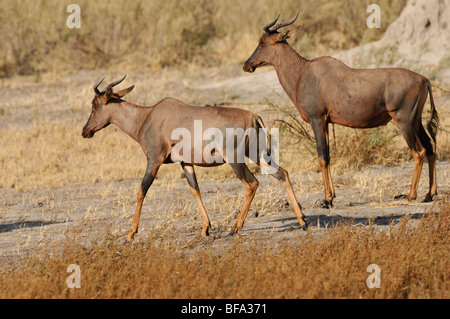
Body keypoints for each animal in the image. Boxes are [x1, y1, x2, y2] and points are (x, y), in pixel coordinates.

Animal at [81, 75, 310, 240]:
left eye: (95, 105)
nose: (85, 131)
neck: (148, 117)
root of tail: (254, 117)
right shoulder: (186, 163)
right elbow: (195, 190)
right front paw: (205, 229)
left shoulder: (154, 161)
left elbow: (141, 191)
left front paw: (130, 234)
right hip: (257, 153)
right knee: (282, 174)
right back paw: (302, 221)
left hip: (235, 159)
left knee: (252, 183)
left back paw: (234, 229)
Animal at [244, 13, 438, 208]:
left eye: (263, 42)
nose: (247, 65)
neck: (304, 72)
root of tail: (424, 80)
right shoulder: (325, 122)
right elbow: (328, 155)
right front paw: (331, 196)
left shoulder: (316, 119)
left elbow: (322, 155)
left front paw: (326, 199)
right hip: (416, 121)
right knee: (430, 147)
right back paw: (429, 194)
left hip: (404, 121)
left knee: (418, 152)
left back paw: (410, 195)